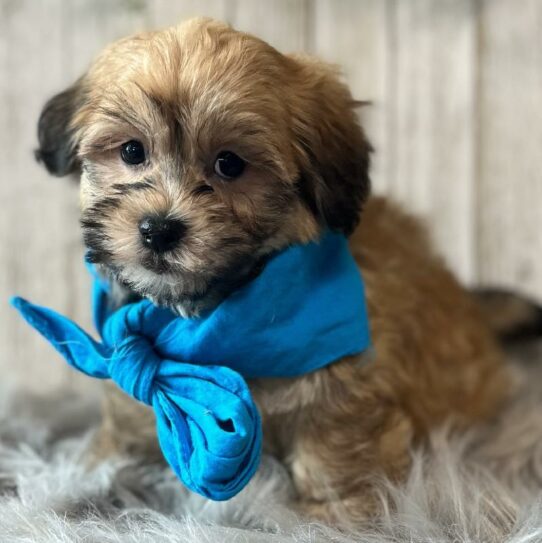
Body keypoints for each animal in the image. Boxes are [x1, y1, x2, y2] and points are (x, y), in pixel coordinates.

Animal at [36, 18, 512, 528]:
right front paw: (102, 468)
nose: (159, 229)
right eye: (131, 151)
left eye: (229, 163)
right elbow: (129, 415)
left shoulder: (345, 383)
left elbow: (333, 442)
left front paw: (335, 513)